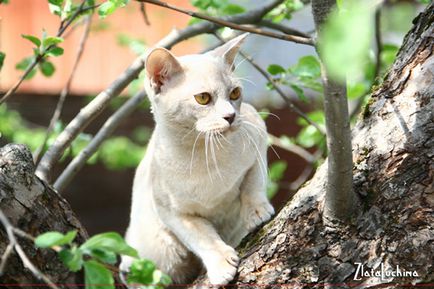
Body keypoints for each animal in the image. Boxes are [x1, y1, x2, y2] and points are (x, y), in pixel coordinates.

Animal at [120, 33, 272, 284]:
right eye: (203, 98)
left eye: (235, 93)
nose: (231, 116)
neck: (204, 153)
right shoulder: (174, 212)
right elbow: (203, 238)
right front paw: (221, 267)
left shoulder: (258, 135)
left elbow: (253, 184)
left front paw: (257, 213)